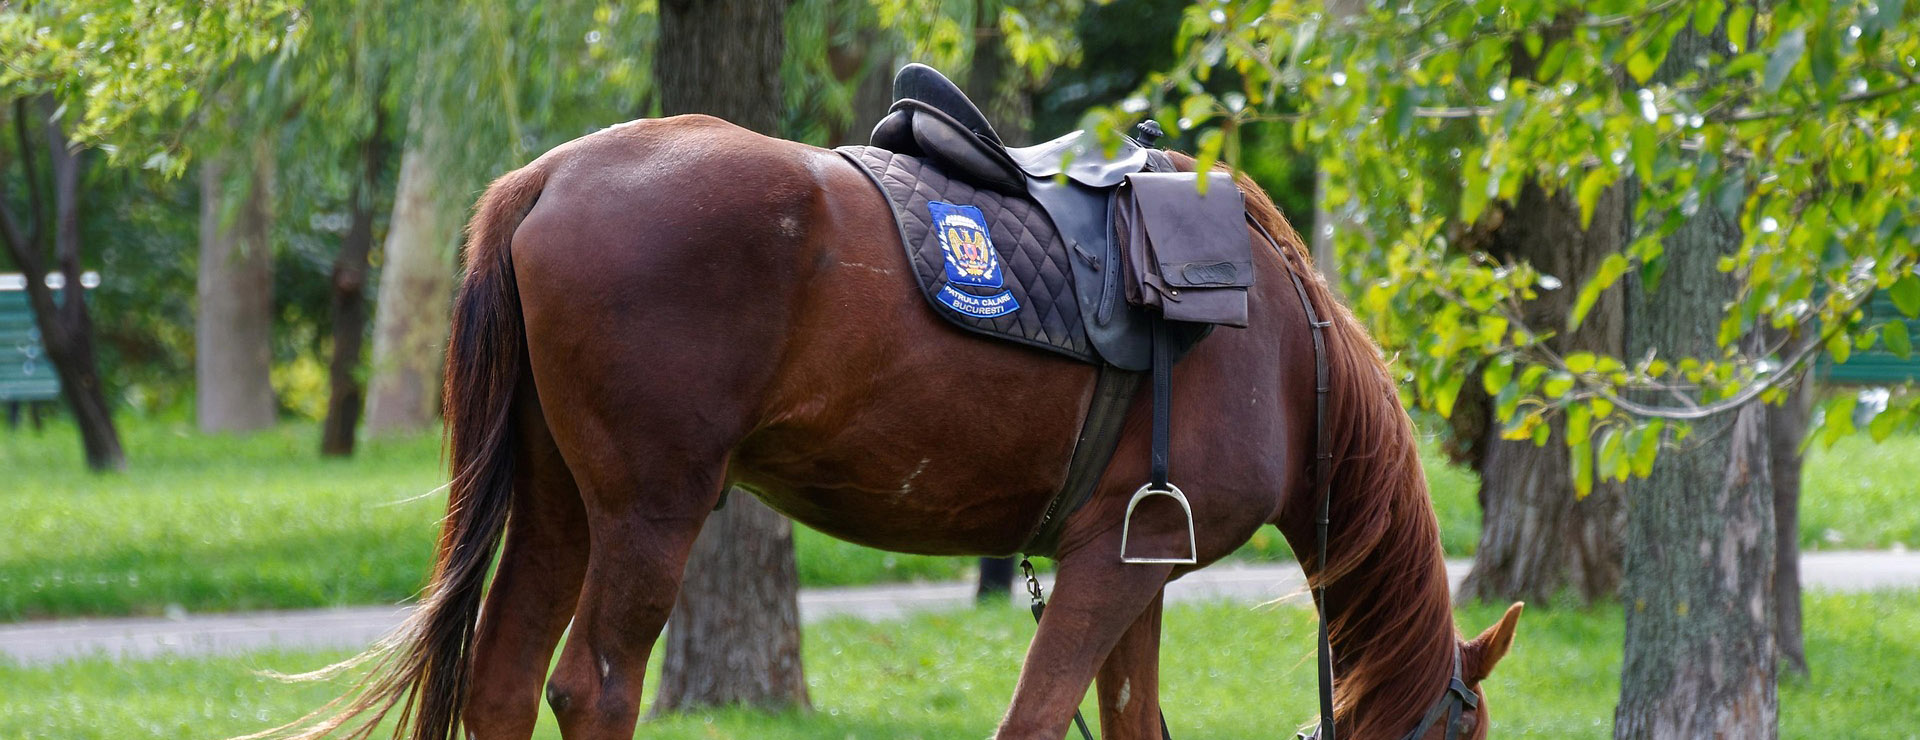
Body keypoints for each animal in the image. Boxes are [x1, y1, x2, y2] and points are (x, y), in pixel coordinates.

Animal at [260, 114, 1524, 740]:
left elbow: (1133, 723)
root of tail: (548, 178)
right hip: (650, 513)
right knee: (594, 688)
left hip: (561, 504)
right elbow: (1036, 718)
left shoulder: (1138, 566)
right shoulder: (1106, 569)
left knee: (508, 680)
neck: (1282, 349)